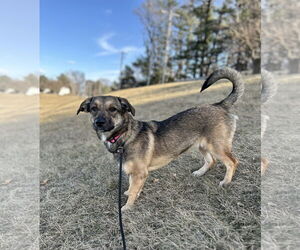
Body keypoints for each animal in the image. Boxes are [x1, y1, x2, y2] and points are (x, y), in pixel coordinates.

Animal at [77, 67, 244, 210]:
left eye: (113, 109)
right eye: (93, 109)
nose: (99, 123)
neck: (125, 136)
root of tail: (219, 105)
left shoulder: (139, 173)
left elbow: (133, 190)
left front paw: (128, 206)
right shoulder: (135, 173)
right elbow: (132, 186)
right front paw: (131, 193)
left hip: (217, 147)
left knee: (232, 162)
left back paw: (226, 181)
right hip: (202, 145)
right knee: (211, 161)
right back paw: (200, 173)